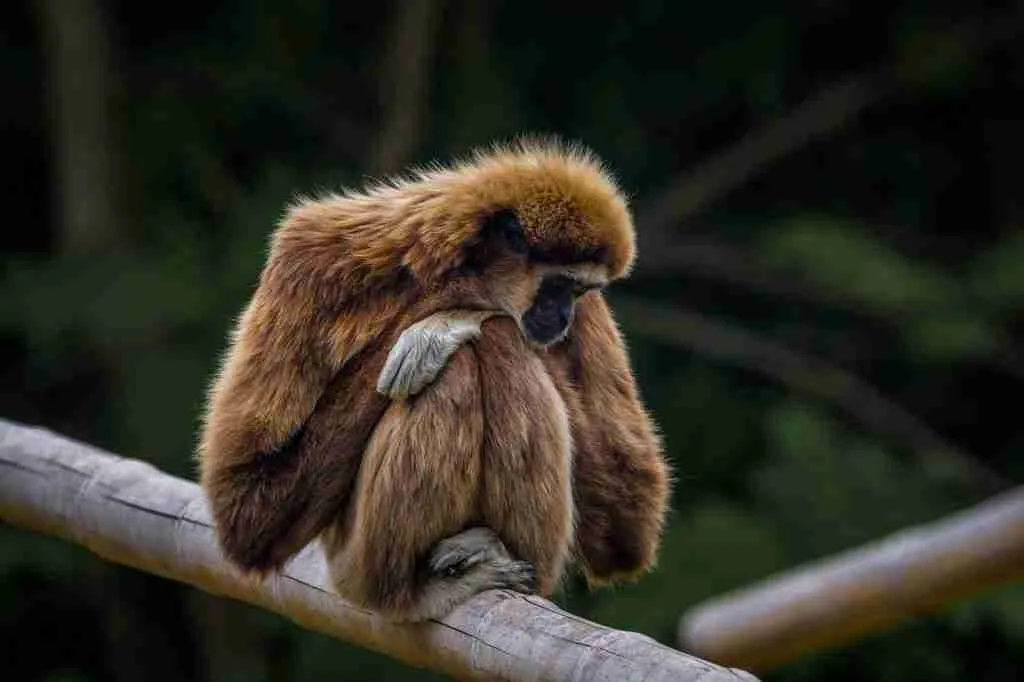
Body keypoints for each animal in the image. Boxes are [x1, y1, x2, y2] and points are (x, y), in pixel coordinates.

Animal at [197, 139, 670, 620]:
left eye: (578, 291)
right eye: (558, 285)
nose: (562, 317)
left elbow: (625, 524)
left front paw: (447, 318)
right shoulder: (309, 257)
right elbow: (249, 511)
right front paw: (455, 306)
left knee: (501, 342)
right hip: (355, 564)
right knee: (471, 357)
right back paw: (413, 589)